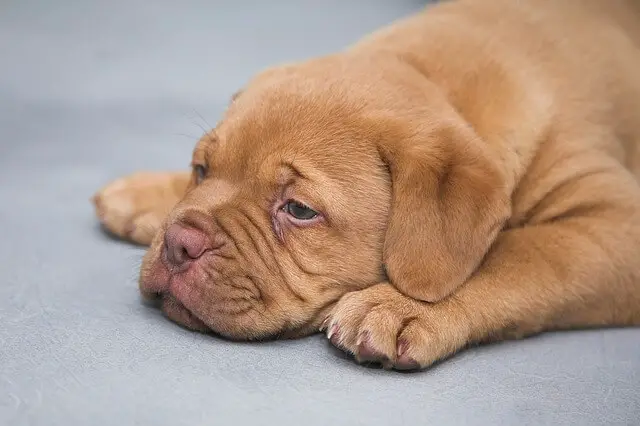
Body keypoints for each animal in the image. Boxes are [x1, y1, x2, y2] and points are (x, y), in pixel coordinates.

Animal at [91, 0, 640, 370]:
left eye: (299, 210)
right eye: (201, 170)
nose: (178, 243)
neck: (436, 79)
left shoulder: (618, 223)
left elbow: (519, 254)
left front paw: (399, 305)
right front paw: (145, 195)